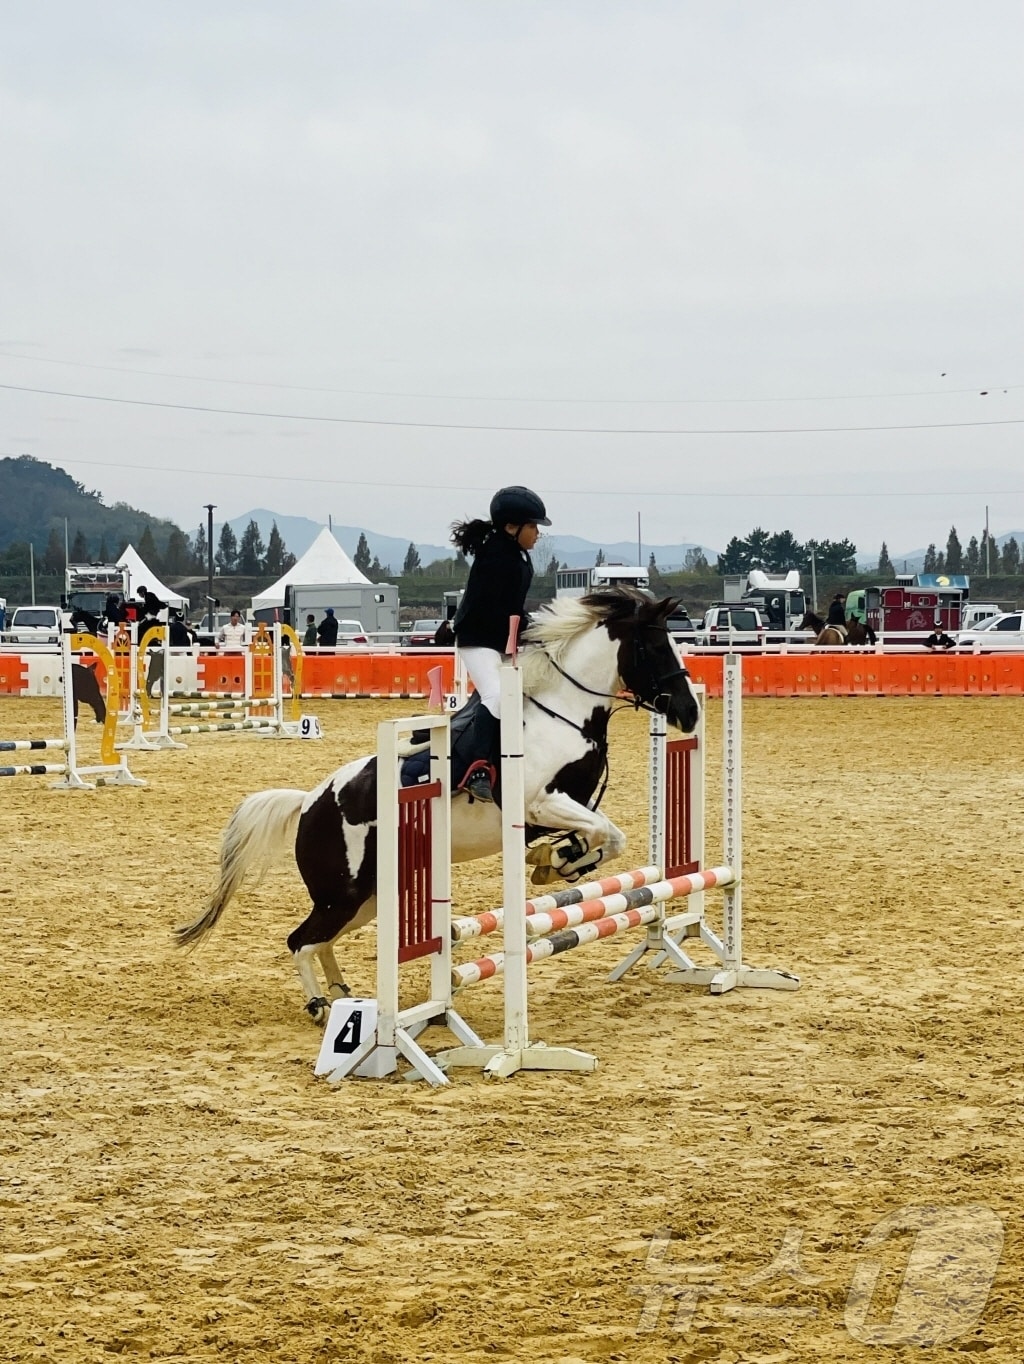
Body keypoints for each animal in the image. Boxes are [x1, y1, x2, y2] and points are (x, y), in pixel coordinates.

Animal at [178, 586, 703, 1025]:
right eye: (656, 647)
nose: (690, 712)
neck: (564, 713)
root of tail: (309, 801)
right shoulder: (539, 803)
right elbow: (606, 834)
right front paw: (555, 860)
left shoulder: (568, 805)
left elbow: (609, 839)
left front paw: (557, 861)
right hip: (343, 894)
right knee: (300, 941)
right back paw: (321, 1006)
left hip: (367, 898)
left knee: (320, 940)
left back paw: (343, 993)